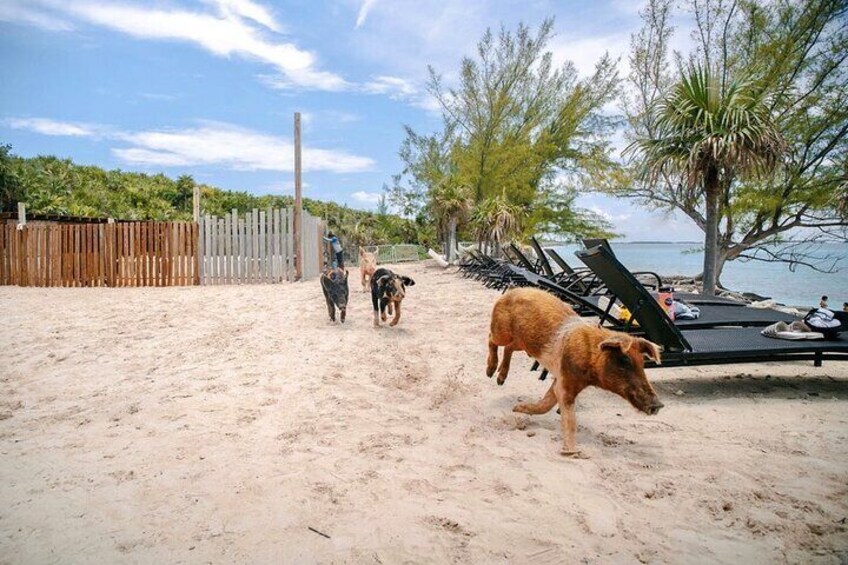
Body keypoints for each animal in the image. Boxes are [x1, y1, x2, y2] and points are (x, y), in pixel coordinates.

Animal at [490, 288, 664, 456]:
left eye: (642, 363)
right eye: (624, 361)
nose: (659, 405)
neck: (590, 364)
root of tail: (514, 290)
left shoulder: (562, 379)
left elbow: (547, 402)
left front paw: (516, 408)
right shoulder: (566, 381)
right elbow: (570, 418)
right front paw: (574, 452)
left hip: (523, 343)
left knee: (509, 348)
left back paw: (500, 380)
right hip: (502, 331)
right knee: (492, 339)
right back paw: (490, 372)